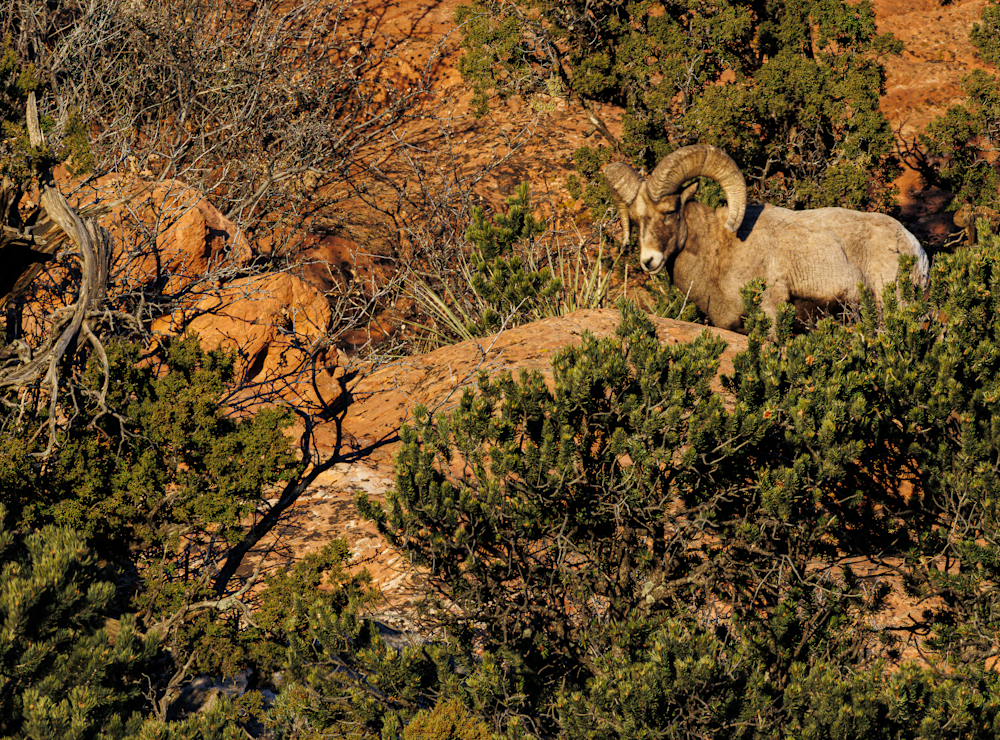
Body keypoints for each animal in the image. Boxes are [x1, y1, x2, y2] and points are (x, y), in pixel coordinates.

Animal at [603, 144, 930, 333]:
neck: (720, 252)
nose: (649, 261)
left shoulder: (770, 312)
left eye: (670, 211)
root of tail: (916, 251)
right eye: (636, 218)